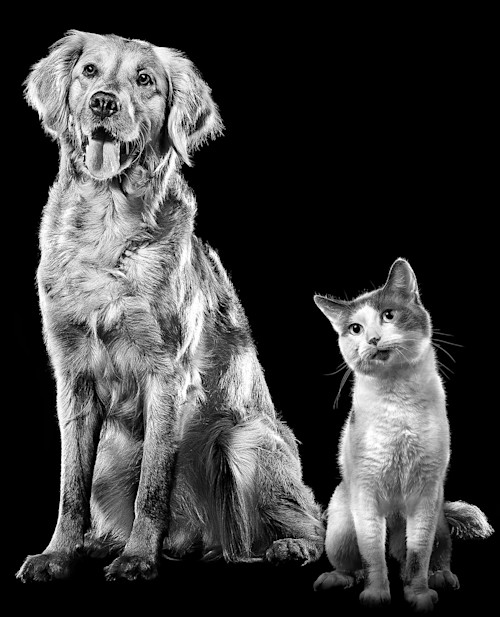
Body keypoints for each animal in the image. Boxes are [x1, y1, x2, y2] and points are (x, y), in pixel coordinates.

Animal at [17, 31, 324, 580]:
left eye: (145, 80)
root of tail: (202, 541)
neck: (107, 223)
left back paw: (288, 546)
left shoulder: (166, 373)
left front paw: (139, 558)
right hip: (113, 454)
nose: (103, 103)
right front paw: (58, 553)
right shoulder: (72, 376)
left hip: (242, 439)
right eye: (89, 71)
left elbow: (154, 486)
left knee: (314, 525)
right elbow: (70, 487)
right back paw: (101, 543)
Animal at [312, 256, 492, 612]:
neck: (398, 404)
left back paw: (440, 577)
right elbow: (372, 556)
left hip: (439, 517)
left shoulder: (425, 493)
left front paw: (419, 595)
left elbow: (418, 555)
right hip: (341, 522)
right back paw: (336, 578)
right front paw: (377, 594)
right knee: (351, 562)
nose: (372, 339)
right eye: (355, 328)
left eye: (388, 315)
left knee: (436, 554)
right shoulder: (366, 494)